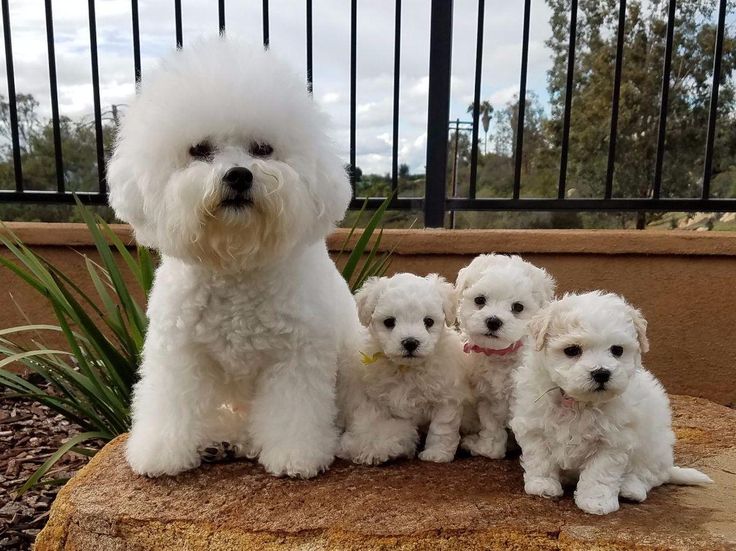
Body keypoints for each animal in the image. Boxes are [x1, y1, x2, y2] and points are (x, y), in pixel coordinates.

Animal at [107, 37, 360, 478]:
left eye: (263, 148)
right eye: (199, 150)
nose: (239, 175)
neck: (236, 261)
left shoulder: (296, 358)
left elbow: (294, 412)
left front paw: (295, 455)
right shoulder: (179, 352)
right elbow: (170, 403)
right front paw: (161, 452)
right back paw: (220, 441)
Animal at [338, 274, 466, 466]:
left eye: (428, 321)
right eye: (389, 322)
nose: (410, 342)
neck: (407, 369)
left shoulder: (446, 397)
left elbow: (441, 428)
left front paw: (437, 454)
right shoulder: (377, 400)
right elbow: (380, 426)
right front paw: (373, 448)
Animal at [454, 254, 556, 458]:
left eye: (518, 307)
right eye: (480, 300)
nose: (493, 321)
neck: (500, 353)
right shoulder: (486, 396)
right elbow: (491, 426)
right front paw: (488, 449)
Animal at [508, 292, 712, 516]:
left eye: (617, 350)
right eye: (572, 350)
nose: (601, 373)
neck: (579, 402)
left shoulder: (613, 441)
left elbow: (600, 473)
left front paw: (596, 502)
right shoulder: (534, 426)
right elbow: (540, 457)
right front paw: (542, 485)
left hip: (655, 446)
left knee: (648, 475)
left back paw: (631, 489)